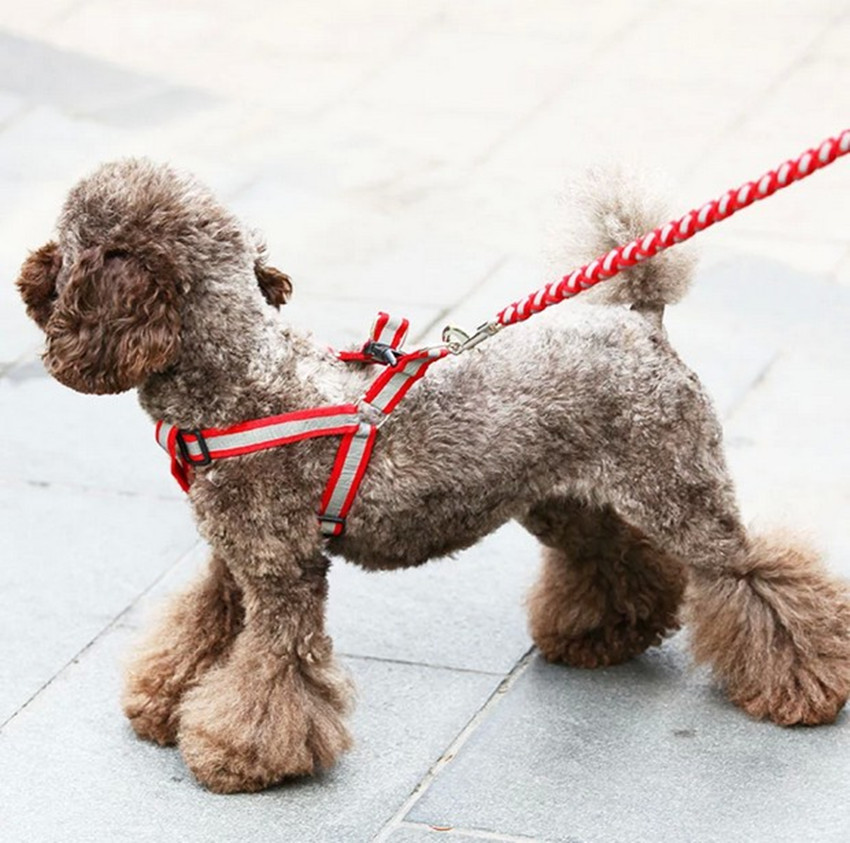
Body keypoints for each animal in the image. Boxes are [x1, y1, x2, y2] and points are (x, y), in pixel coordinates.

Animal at [14, 162, 848, 796]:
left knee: (755, 576)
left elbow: (274, 666)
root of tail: (639, 321)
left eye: (69, 243)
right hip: (566, 497)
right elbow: (201, 629)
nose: (29, 272)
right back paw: (605, 633)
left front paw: (242, 753)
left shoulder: (282, 572)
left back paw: (805, 684)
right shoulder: (234, 557)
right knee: (614, 558)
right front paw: (164, 704)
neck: (240, 380)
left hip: (680, 487)